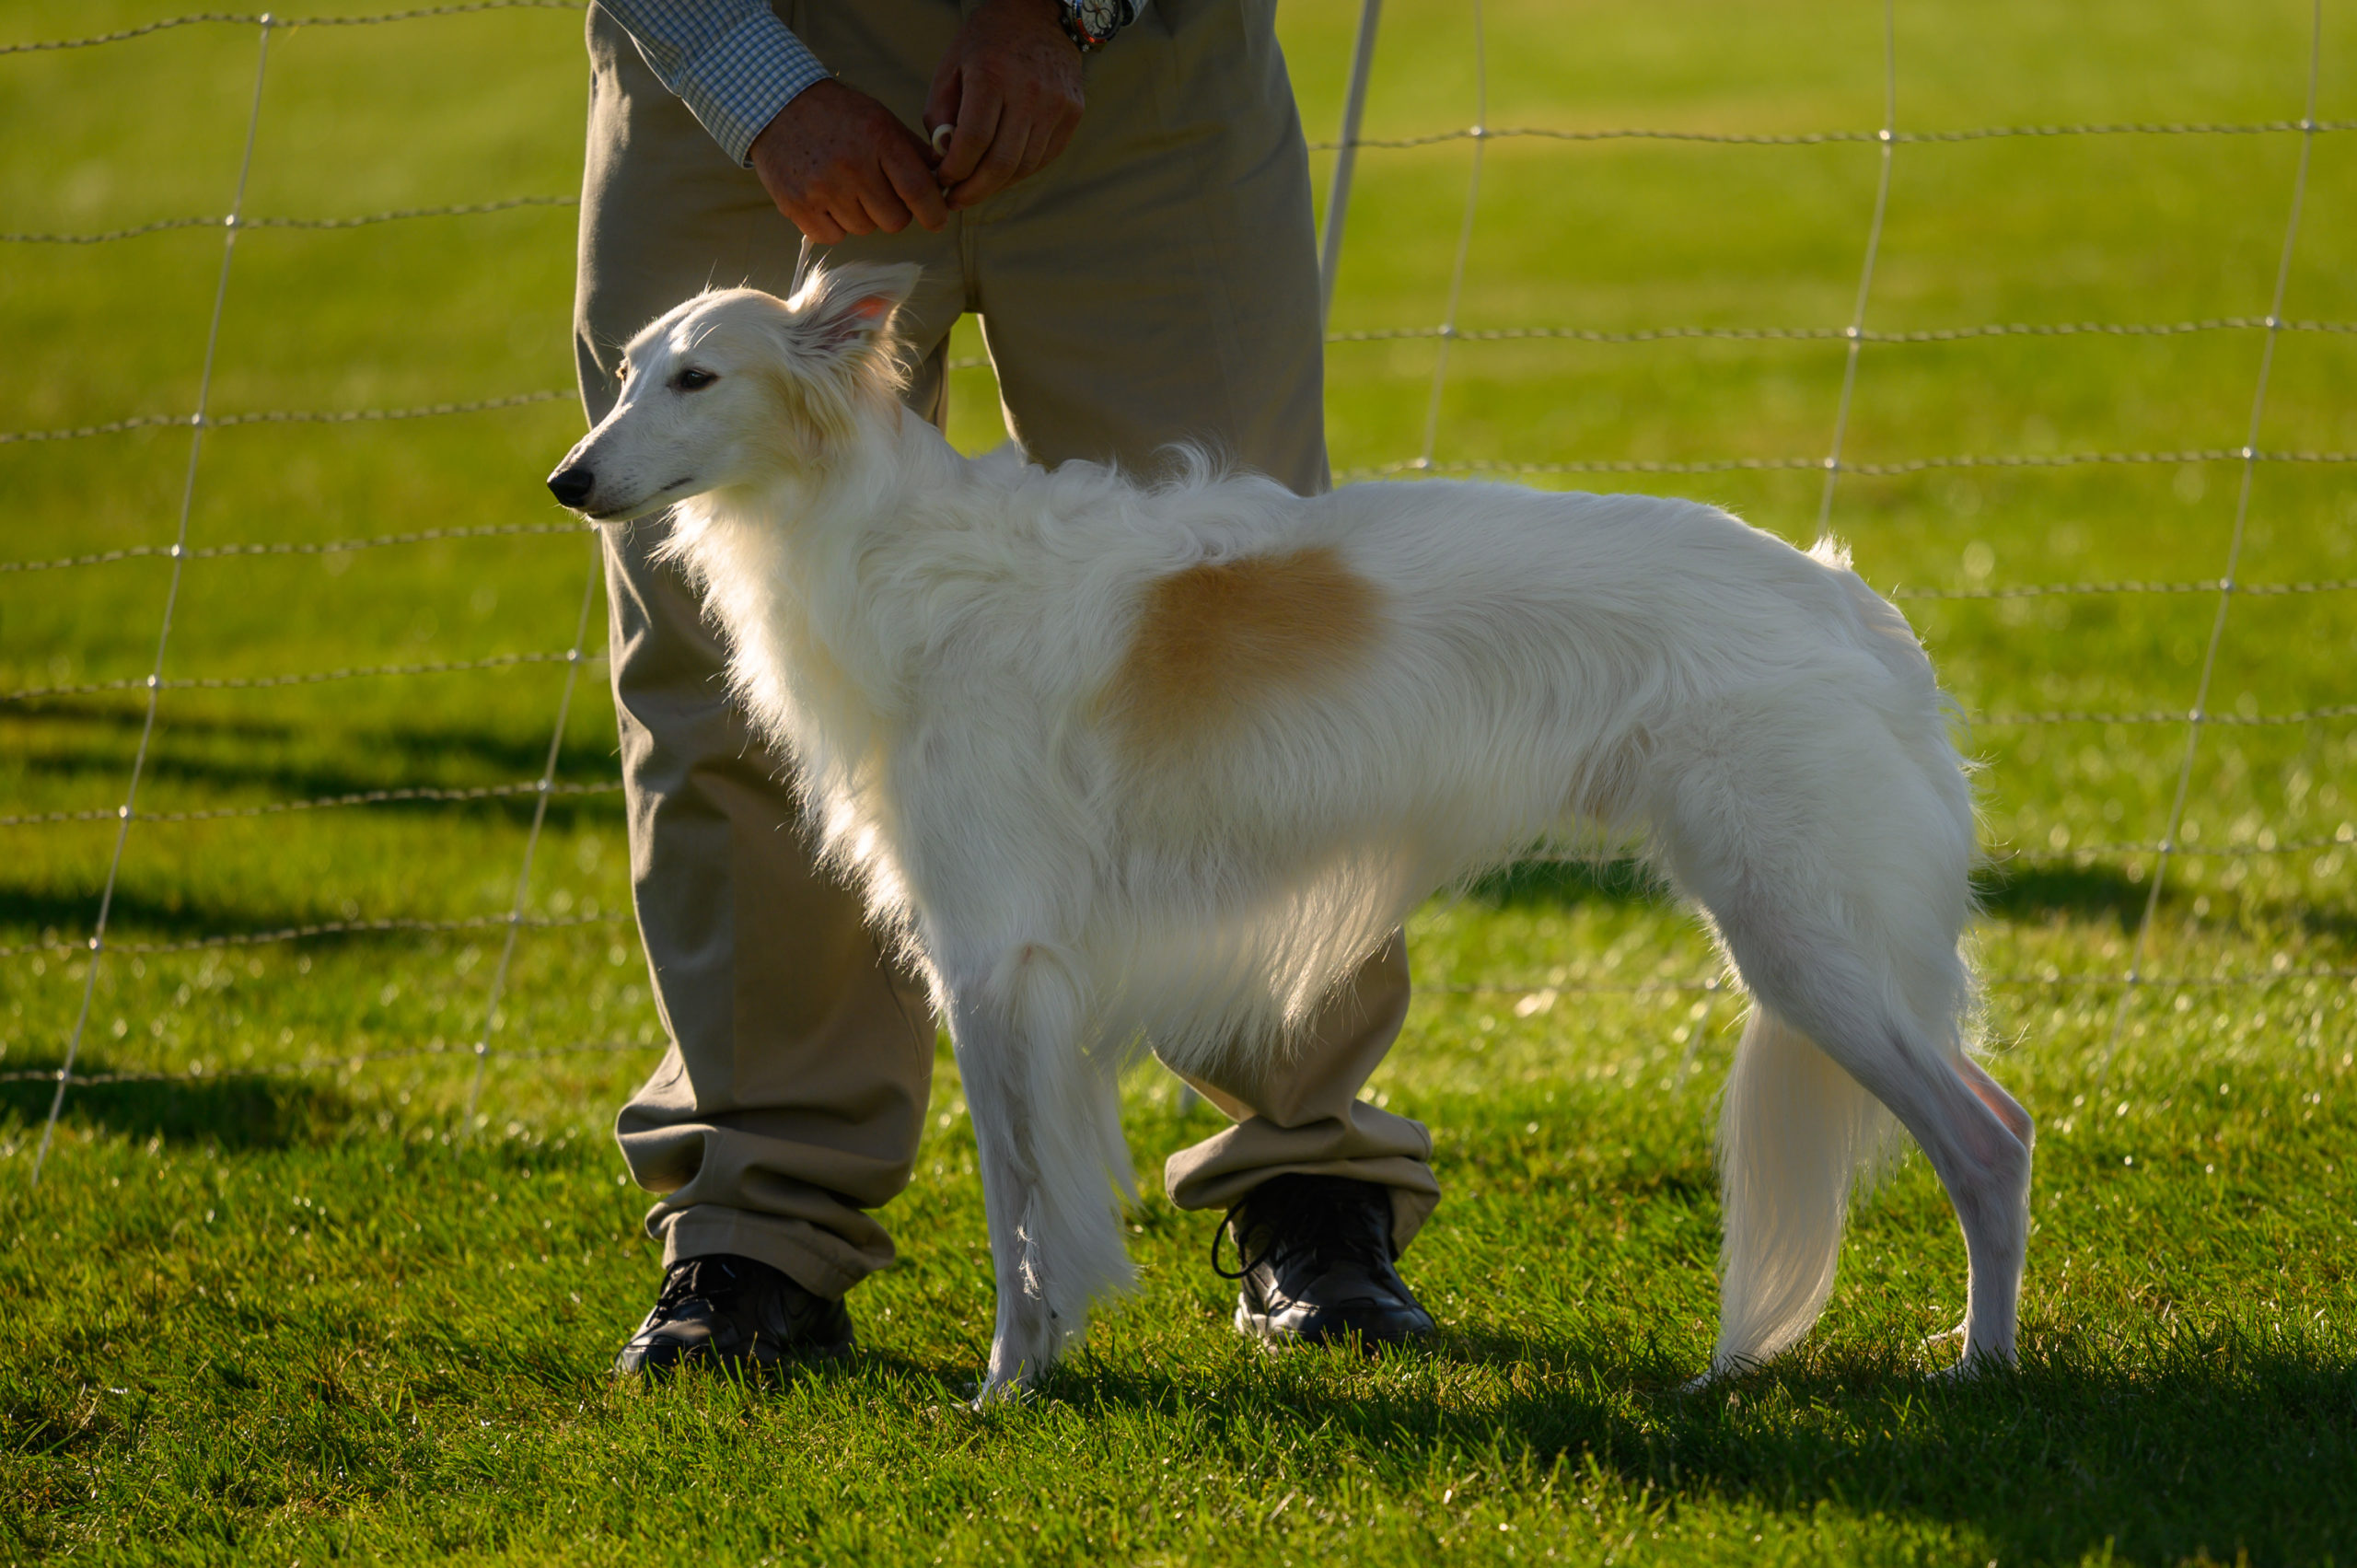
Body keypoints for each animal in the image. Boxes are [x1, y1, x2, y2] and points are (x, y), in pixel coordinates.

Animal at [546, 259, 2026, 1396]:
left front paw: (1005, 1384)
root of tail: (1853, 607)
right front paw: (1044, 1360)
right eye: (624, 370)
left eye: (698, 378)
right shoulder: (1027, 972)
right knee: (1996, 1118)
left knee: (1992, 1141)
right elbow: (1046, 1205)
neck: (887, 551)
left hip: (1801, 934)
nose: (567, 481)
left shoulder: (989, 956)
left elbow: (1017, 1208)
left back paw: (1983, 1363)